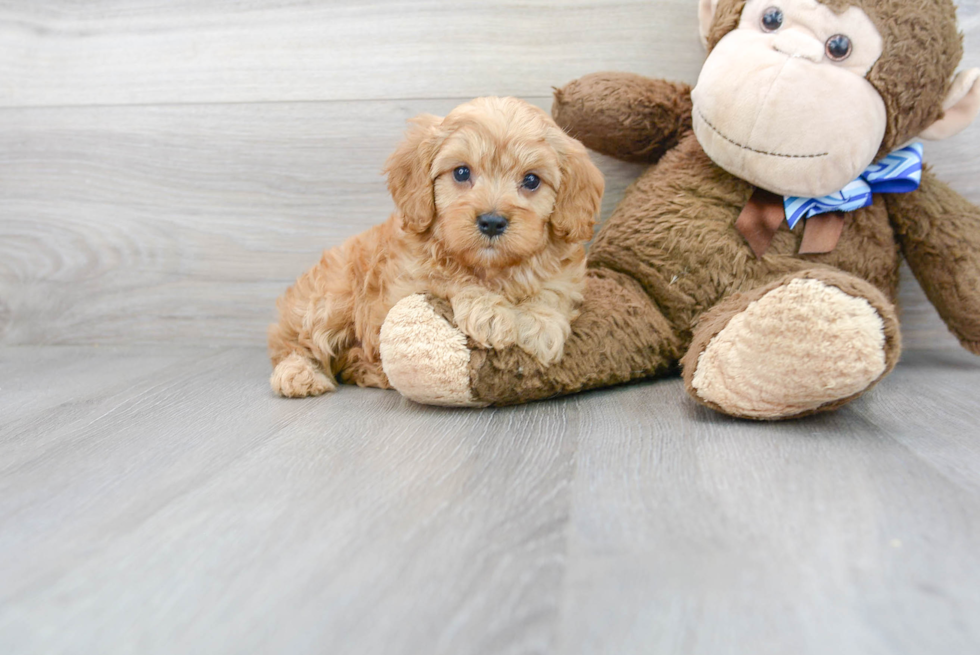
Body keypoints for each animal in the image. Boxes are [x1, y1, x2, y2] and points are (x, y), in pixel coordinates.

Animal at [268, 95, 604, 398]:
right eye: (461, 172)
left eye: (532, 180)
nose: (492, 222)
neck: (492, 270)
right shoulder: (405, 283)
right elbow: (448, 278)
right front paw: (489, 312)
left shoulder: (566, 274)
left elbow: (553, 289)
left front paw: (539, 323)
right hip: (330, 299)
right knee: (293, 342)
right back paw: (298, 374)